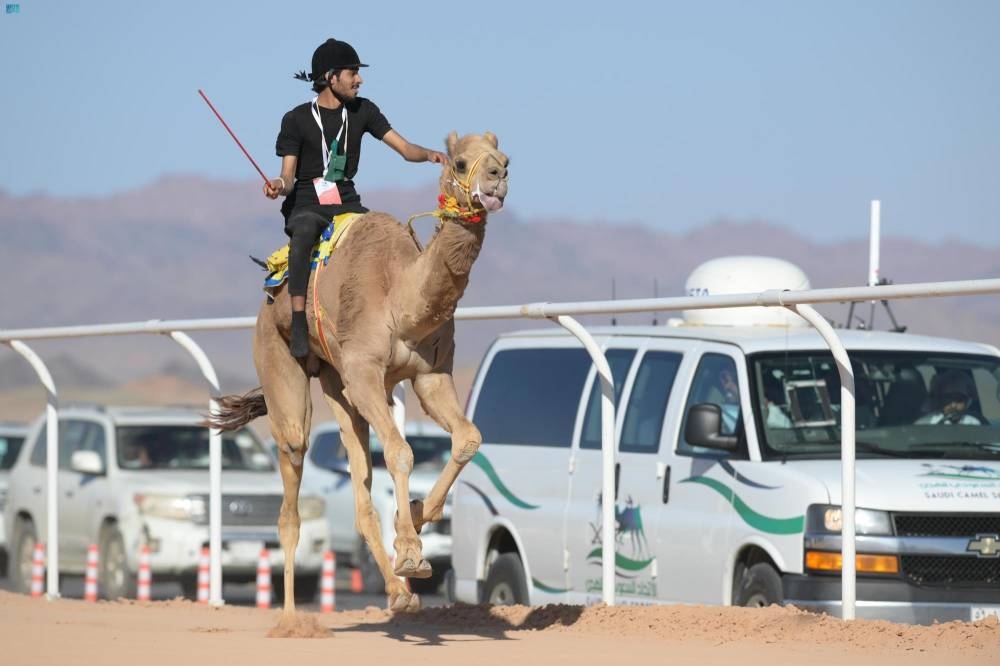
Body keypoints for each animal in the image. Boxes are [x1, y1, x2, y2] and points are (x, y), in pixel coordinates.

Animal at [209, 131, 508, 628]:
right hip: (279, 357)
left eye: (504, 159)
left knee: (359, 478)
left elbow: (468, 438)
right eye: (462, 162)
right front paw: (411, 552)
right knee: (293, 470)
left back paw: (398, 594)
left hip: (334, 380)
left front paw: (416, 516)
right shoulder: (365, 371)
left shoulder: (430, 376)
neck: (401, 298)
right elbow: (402, 452)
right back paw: (291, 620)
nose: (497, 178)